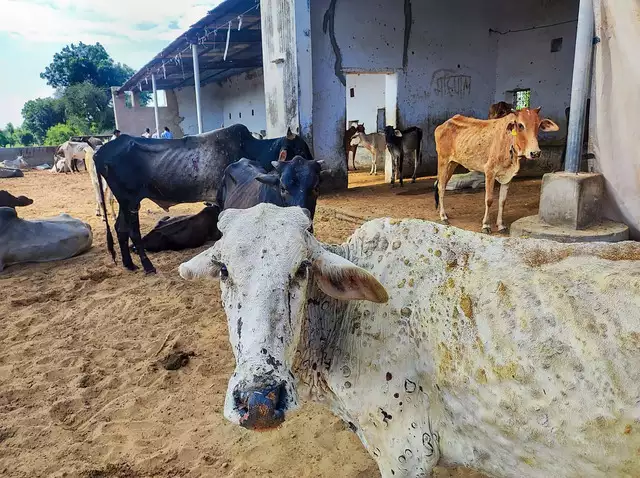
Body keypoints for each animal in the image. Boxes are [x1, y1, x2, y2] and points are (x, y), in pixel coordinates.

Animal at [93, 124, 313, 274]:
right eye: (300, 149)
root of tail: (99, 152)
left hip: (125, 202)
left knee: (120, 228)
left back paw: (129, 264)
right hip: (130, 201)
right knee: (133, 231)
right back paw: (147, 266)